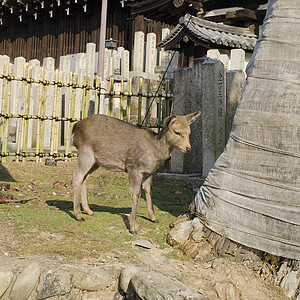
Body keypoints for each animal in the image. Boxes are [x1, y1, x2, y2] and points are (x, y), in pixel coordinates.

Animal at [71, 111, 200, 236]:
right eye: (177, 132)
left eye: (189, 132)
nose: (188, 148)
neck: (155, 152)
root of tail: (75, 127)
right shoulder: (134, 168)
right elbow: (136, 194)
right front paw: (133, 228)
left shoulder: (148, 172)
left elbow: (148, 190)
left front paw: (154, 218)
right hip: (85, 153)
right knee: (77, 177)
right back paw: (78, 215)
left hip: (96, 161)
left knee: (84, 179)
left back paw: (89, 211)